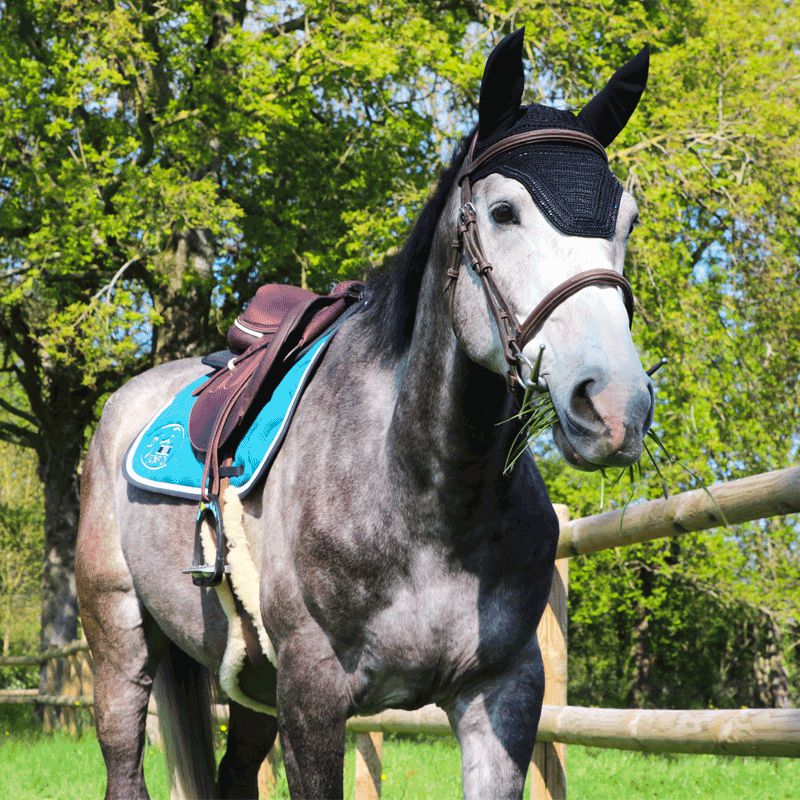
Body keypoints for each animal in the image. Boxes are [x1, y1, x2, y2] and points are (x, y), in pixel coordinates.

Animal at [75, 29, 652, 800]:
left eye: (626, 220)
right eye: (504, 212)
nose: (615, 404)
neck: (425, 495)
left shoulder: (502, 695)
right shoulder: (313, 698)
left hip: (249, 683)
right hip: (119, 647)